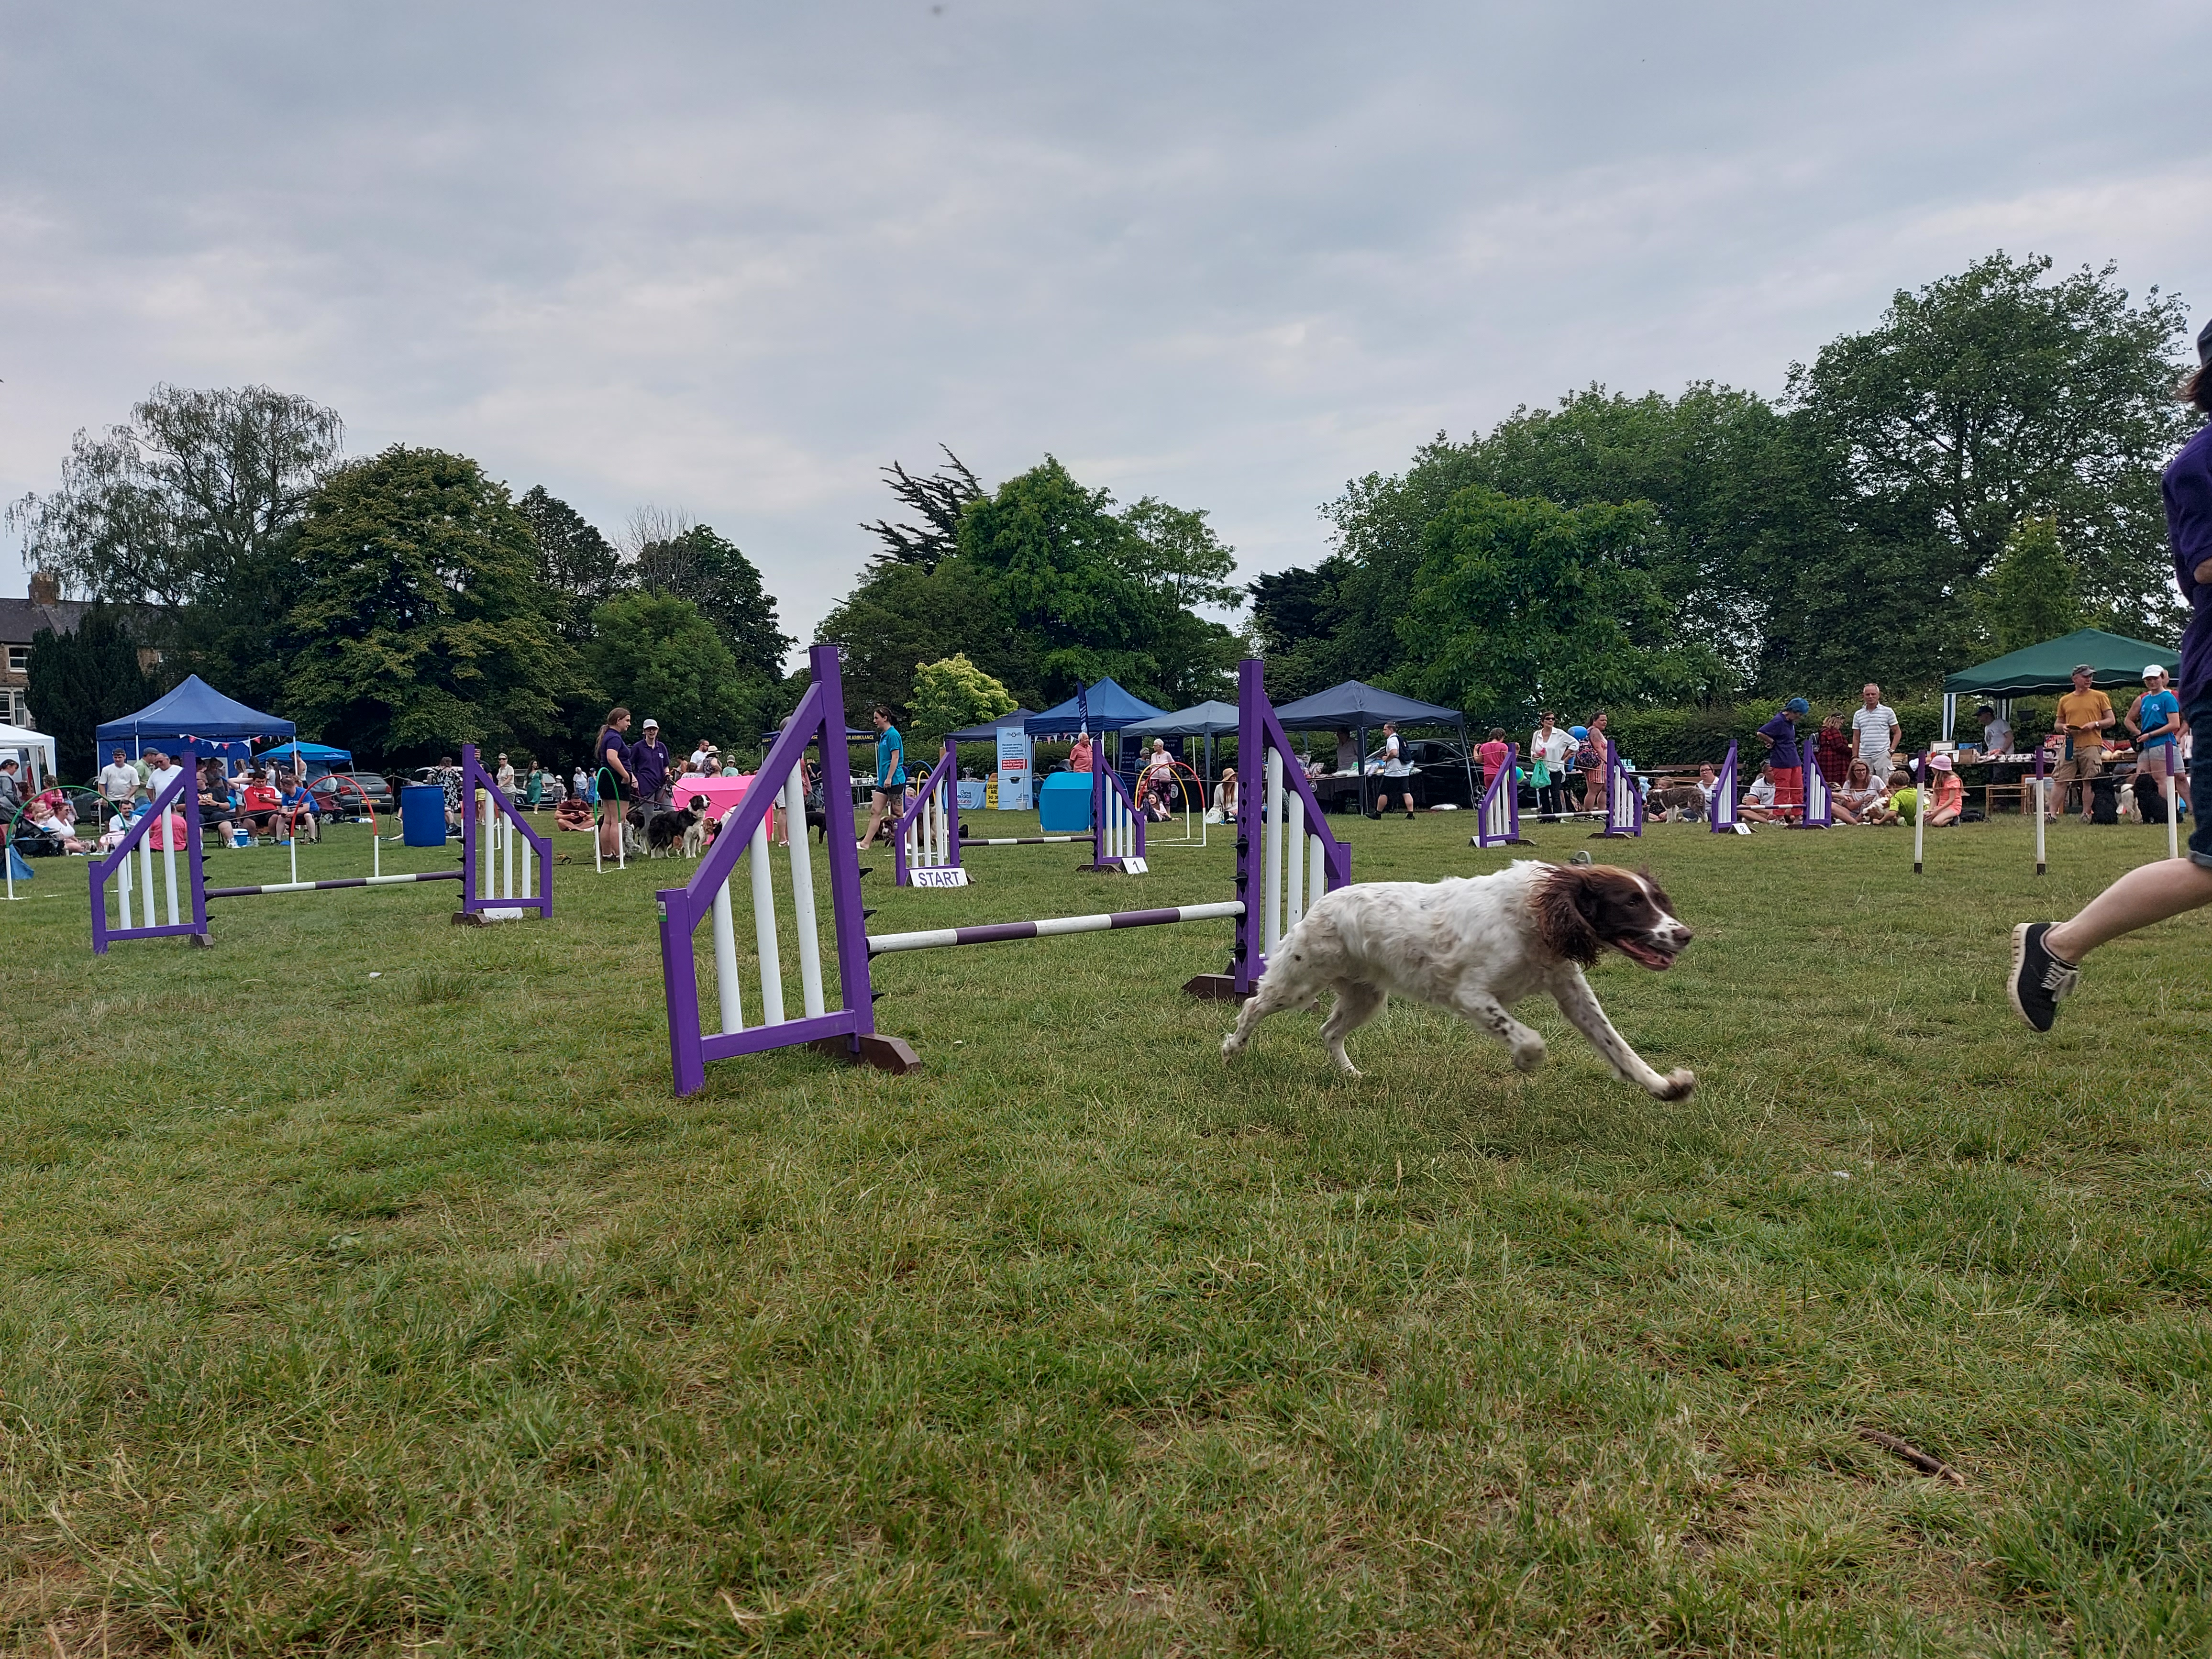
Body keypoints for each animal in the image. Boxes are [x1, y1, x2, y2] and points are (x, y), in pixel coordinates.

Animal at [1229, 858, 1690, 1106]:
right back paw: (1232, 1050)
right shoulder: (1471, 994)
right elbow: (1530, 1040)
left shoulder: (1572, 991)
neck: (1534, 915)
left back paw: (1350, 1074)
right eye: (1630, 903)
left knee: (1329, 1031)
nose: (1684, 935)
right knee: (1253, 1006)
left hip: (1365, 996)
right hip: (1300, 981)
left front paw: (1664, 1086)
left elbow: (1618, 1047)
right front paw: (1526, 1061)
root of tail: (1321, 902)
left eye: (1657, 900)